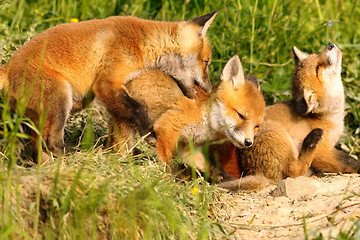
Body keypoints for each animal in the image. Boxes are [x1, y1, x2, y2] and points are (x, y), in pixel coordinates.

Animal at [0, 11, 218, 159]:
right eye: (207, 62)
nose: (209, 89)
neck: (142, 42)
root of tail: (7, 66)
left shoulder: (114, 87)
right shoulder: (106, 82)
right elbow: (137, 108)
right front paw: (148, 132)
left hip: (67, 104)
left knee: (37, 142)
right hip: (60, 100)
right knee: (50, 142)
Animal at [125, 55, 266, 166]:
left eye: (257, 126)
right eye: (241, 115)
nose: (248, 142)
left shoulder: (187, 146)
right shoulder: (167, 126)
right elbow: (167, 162)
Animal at [214, 43, 360, 191]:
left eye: (317, 54)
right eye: (317, 68)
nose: (330, 45)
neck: (327, 117)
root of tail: (254, 171)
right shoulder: (322, 151)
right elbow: (348, 160)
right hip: (279, 134)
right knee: (294, 171)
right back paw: (311, 140)